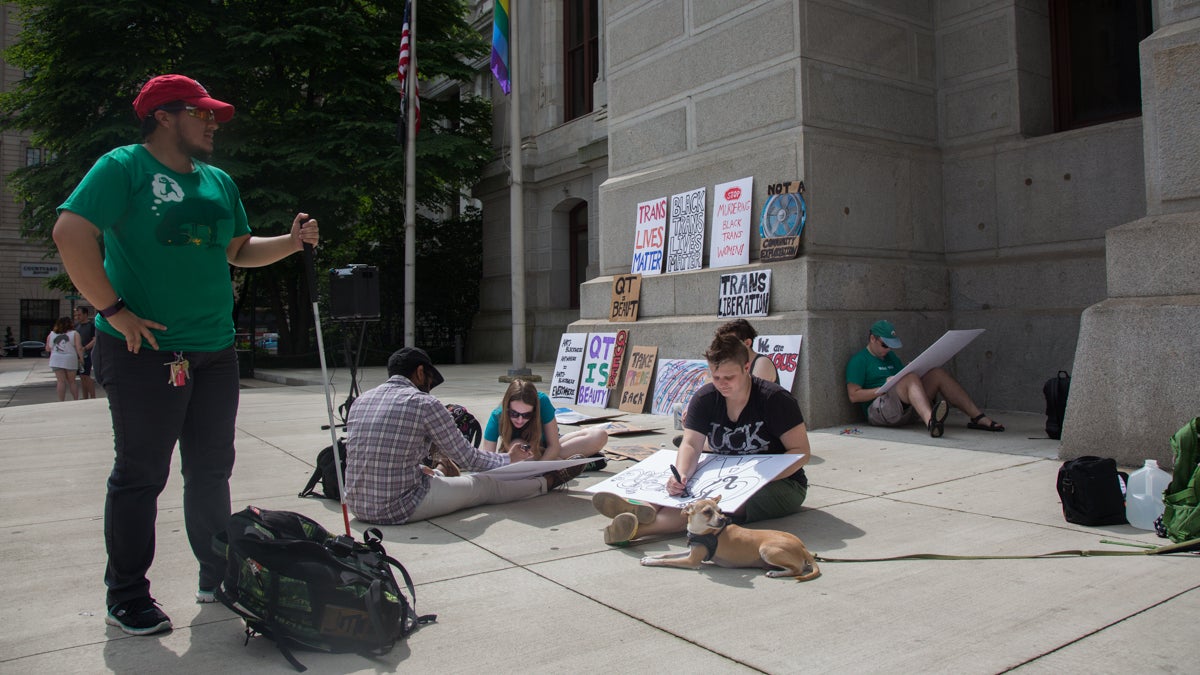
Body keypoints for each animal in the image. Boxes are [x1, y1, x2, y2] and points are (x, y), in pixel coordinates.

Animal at [643, 492, 820, 581]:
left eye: (720, 511)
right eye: (707, 512)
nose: (723, 519)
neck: (705, 532)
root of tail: (803, 548)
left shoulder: (692, 560)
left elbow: (667, 561)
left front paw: (650, 561)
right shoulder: (691, 551)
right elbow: (667, 555)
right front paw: (652, 556)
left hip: (767, 550)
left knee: (797, 570)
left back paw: (775, 573)